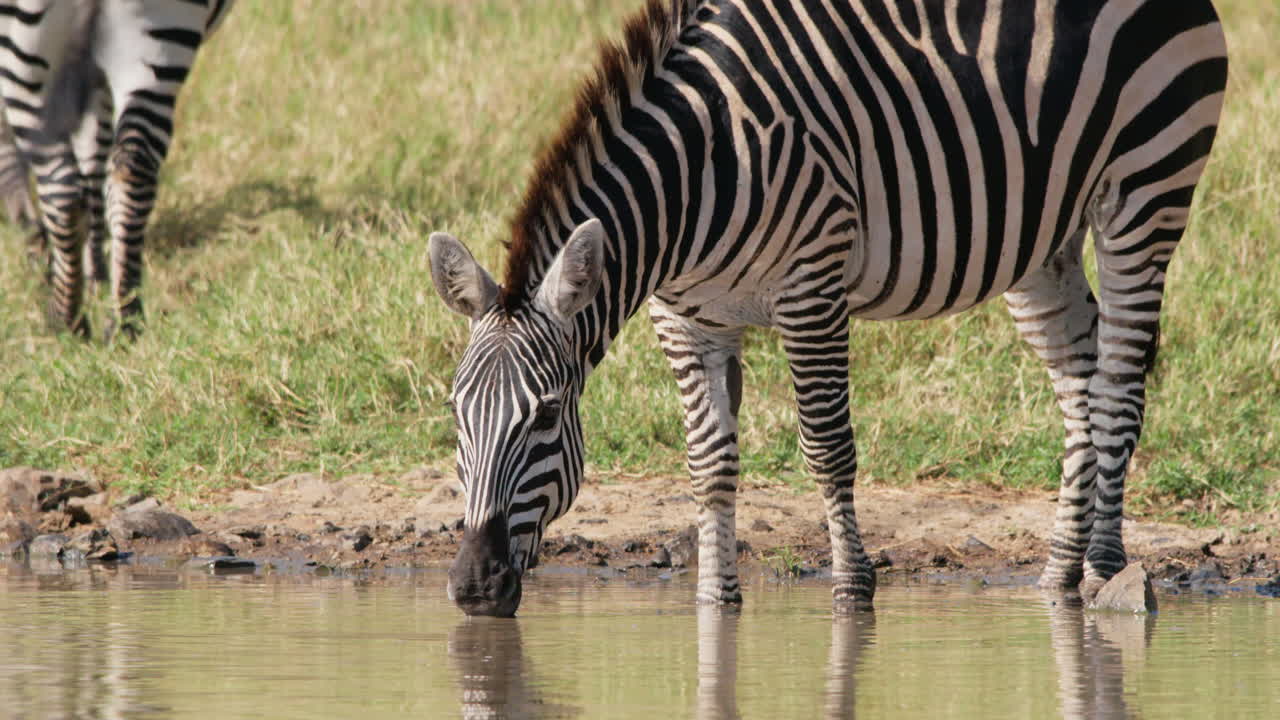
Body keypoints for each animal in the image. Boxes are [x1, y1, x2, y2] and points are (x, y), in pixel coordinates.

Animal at [0, 0, 234, 339]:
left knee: (62, 190)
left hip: (25, 63)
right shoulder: (94, 78)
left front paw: (39, 247)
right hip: (160, 45)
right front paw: (96, 271)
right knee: (132, 169)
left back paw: (65, 319)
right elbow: (93, 160)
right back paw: (125, 320)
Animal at [428, 0, 1228, 616]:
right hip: (1041, 239)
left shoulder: (811, 285)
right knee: (1081, 387)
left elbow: (826, 447)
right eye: (455, 413)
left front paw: (852, 592)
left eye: (546, 416)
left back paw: (1107, 573)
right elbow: (709, 461)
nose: (473, 589)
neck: (698, 171)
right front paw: (714, 601)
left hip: (1146, 190)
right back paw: (1060, 572)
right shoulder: (685, 317)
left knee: (1119, 384)